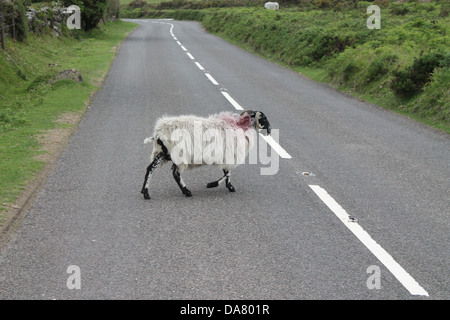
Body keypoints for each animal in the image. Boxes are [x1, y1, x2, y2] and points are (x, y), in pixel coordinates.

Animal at [141, 110, 270, 200]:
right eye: (263, 118)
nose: (269, 130)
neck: (238, 126)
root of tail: (159, 133)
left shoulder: (225, 156)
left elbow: (226, 172)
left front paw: (226, 186)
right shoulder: (227, 155)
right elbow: (227, 173)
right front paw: (215, 185)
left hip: (163, 153)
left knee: (150, 168)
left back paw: (145, 192)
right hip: (179, 154)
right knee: (175, 173)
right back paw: (187, 191)